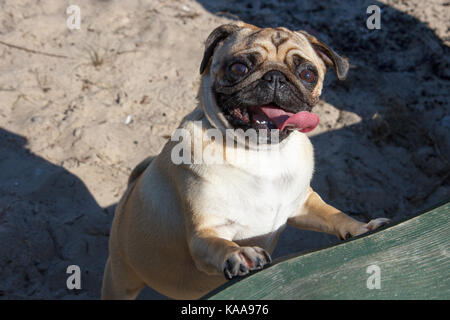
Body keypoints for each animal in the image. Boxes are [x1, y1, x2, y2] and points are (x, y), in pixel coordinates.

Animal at [101, 22, 390, 300]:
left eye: (308, 74)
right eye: (239, 68)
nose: (275, 77)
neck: (262, 154)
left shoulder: (304, 205)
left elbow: (334, 215)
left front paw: (361, 227)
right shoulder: (205, 233)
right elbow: (220, 244)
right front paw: (240, 253)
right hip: (121, 277)